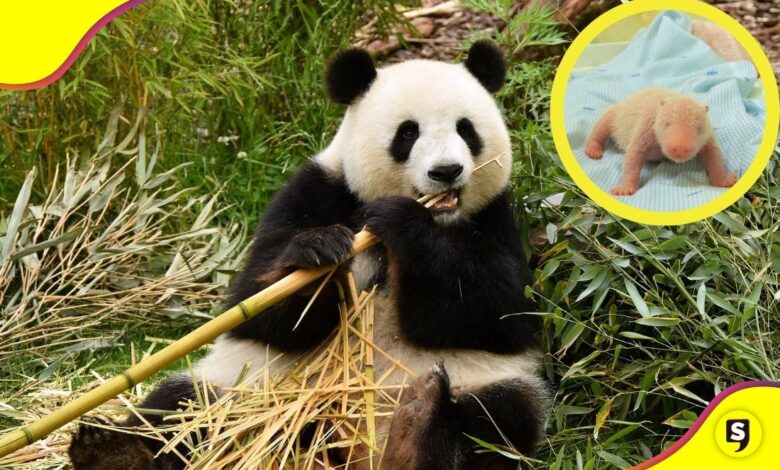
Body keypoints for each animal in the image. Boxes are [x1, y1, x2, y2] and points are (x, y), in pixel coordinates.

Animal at [68, 40, 548, 470]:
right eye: (408, 133)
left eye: (466, 129)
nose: (446, 171)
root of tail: (358, 451)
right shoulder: (318, 190)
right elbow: (258, 304)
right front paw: (317, 254)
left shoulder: (495, 218)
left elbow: (500, 311)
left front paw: (404, 223)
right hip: (249, 385)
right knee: (182, 408)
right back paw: (113, 453)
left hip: (479, 381)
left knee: (498, 421)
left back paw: (415, 431)